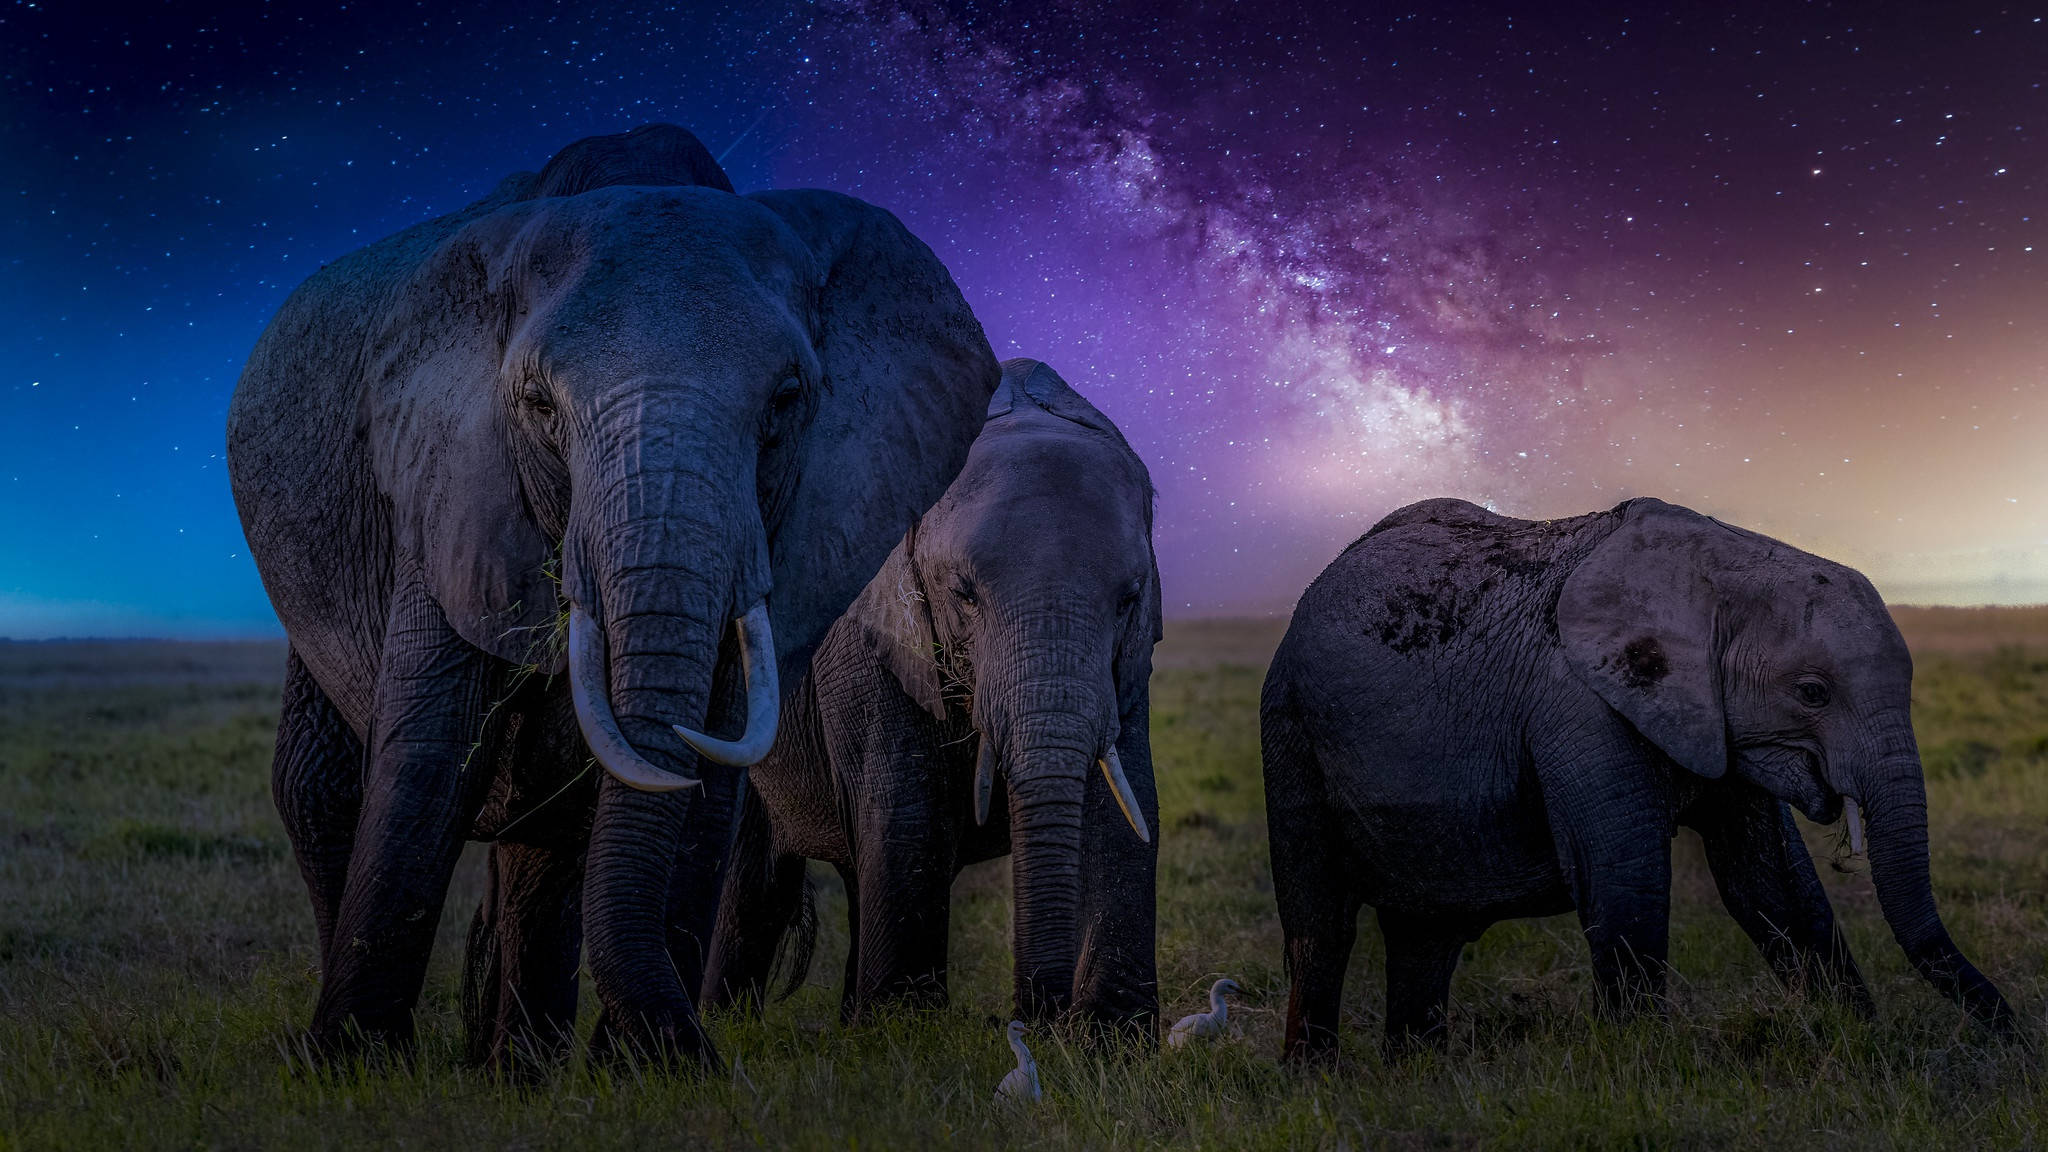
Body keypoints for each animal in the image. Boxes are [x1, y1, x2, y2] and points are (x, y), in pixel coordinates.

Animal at [225, 124, 1000, 1070]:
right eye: (538, 406)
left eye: (786, 402)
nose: (699, 1055)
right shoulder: (448, 486)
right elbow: (427, 753)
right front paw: (351, 1064)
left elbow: (705, 774)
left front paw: (640, 1072)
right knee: (323, 784)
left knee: (543, 834)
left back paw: (515, 1071)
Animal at [699, 358, 1163, 1034]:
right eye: (964, 595)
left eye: (1129, 599)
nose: (1031, 1021)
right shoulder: (867, 633)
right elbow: (904, 811)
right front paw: (906, 1030)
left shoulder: (1126, 667)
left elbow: (1123, 808)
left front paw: (1110, 1038)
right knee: (754, 884)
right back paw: (727, 1025)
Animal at [1260, 496, 2016, 1059]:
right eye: (1811, 693)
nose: (2015, 1036)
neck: (1720, 567)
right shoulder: (1580, 704)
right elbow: (1625, 879)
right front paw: (1642, 1069)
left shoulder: (1712, 718)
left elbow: (1775, 887)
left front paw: (1860, 1043)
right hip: (1288, 721)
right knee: (1320, 926)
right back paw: (1316, 1080)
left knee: (1426, 937)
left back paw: (1417, 1074)